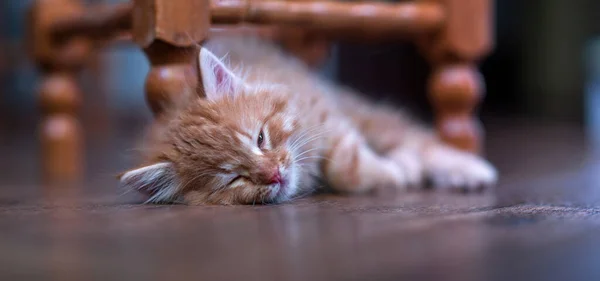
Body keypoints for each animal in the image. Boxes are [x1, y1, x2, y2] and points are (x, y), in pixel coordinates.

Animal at [118, 36, 496, 205]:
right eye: (233, 178)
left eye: (260, 139)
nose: (273, 174)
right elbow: (349, 169)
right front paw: (397, 170)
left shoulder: (326, 114)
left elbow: (344, 164)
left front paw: (398, 170)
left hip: (361, 111)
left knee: (413, 136)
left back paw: (468, 170)